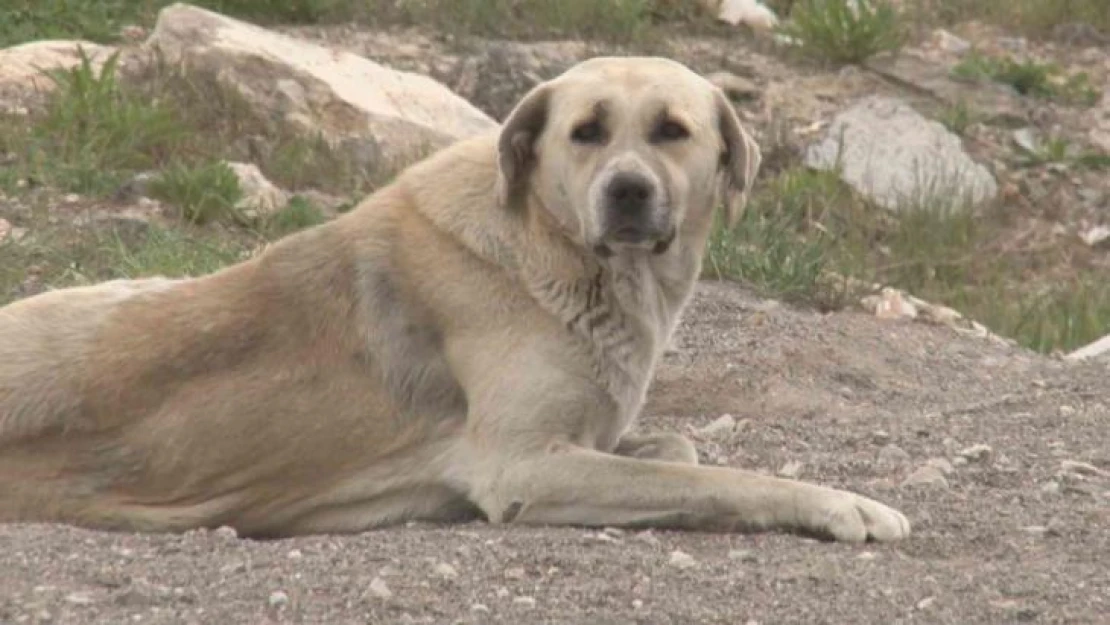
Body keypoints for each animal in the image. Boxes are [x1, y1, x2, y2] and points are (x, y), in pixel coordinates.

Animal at [0, 57, 910, 543]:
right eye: (586, 132)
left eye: (672, 131)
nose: (626, 192)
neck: (556, 252)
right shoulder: (523, 466)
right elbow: (724, 477)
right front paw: (845, 504)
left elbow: (680, 448)